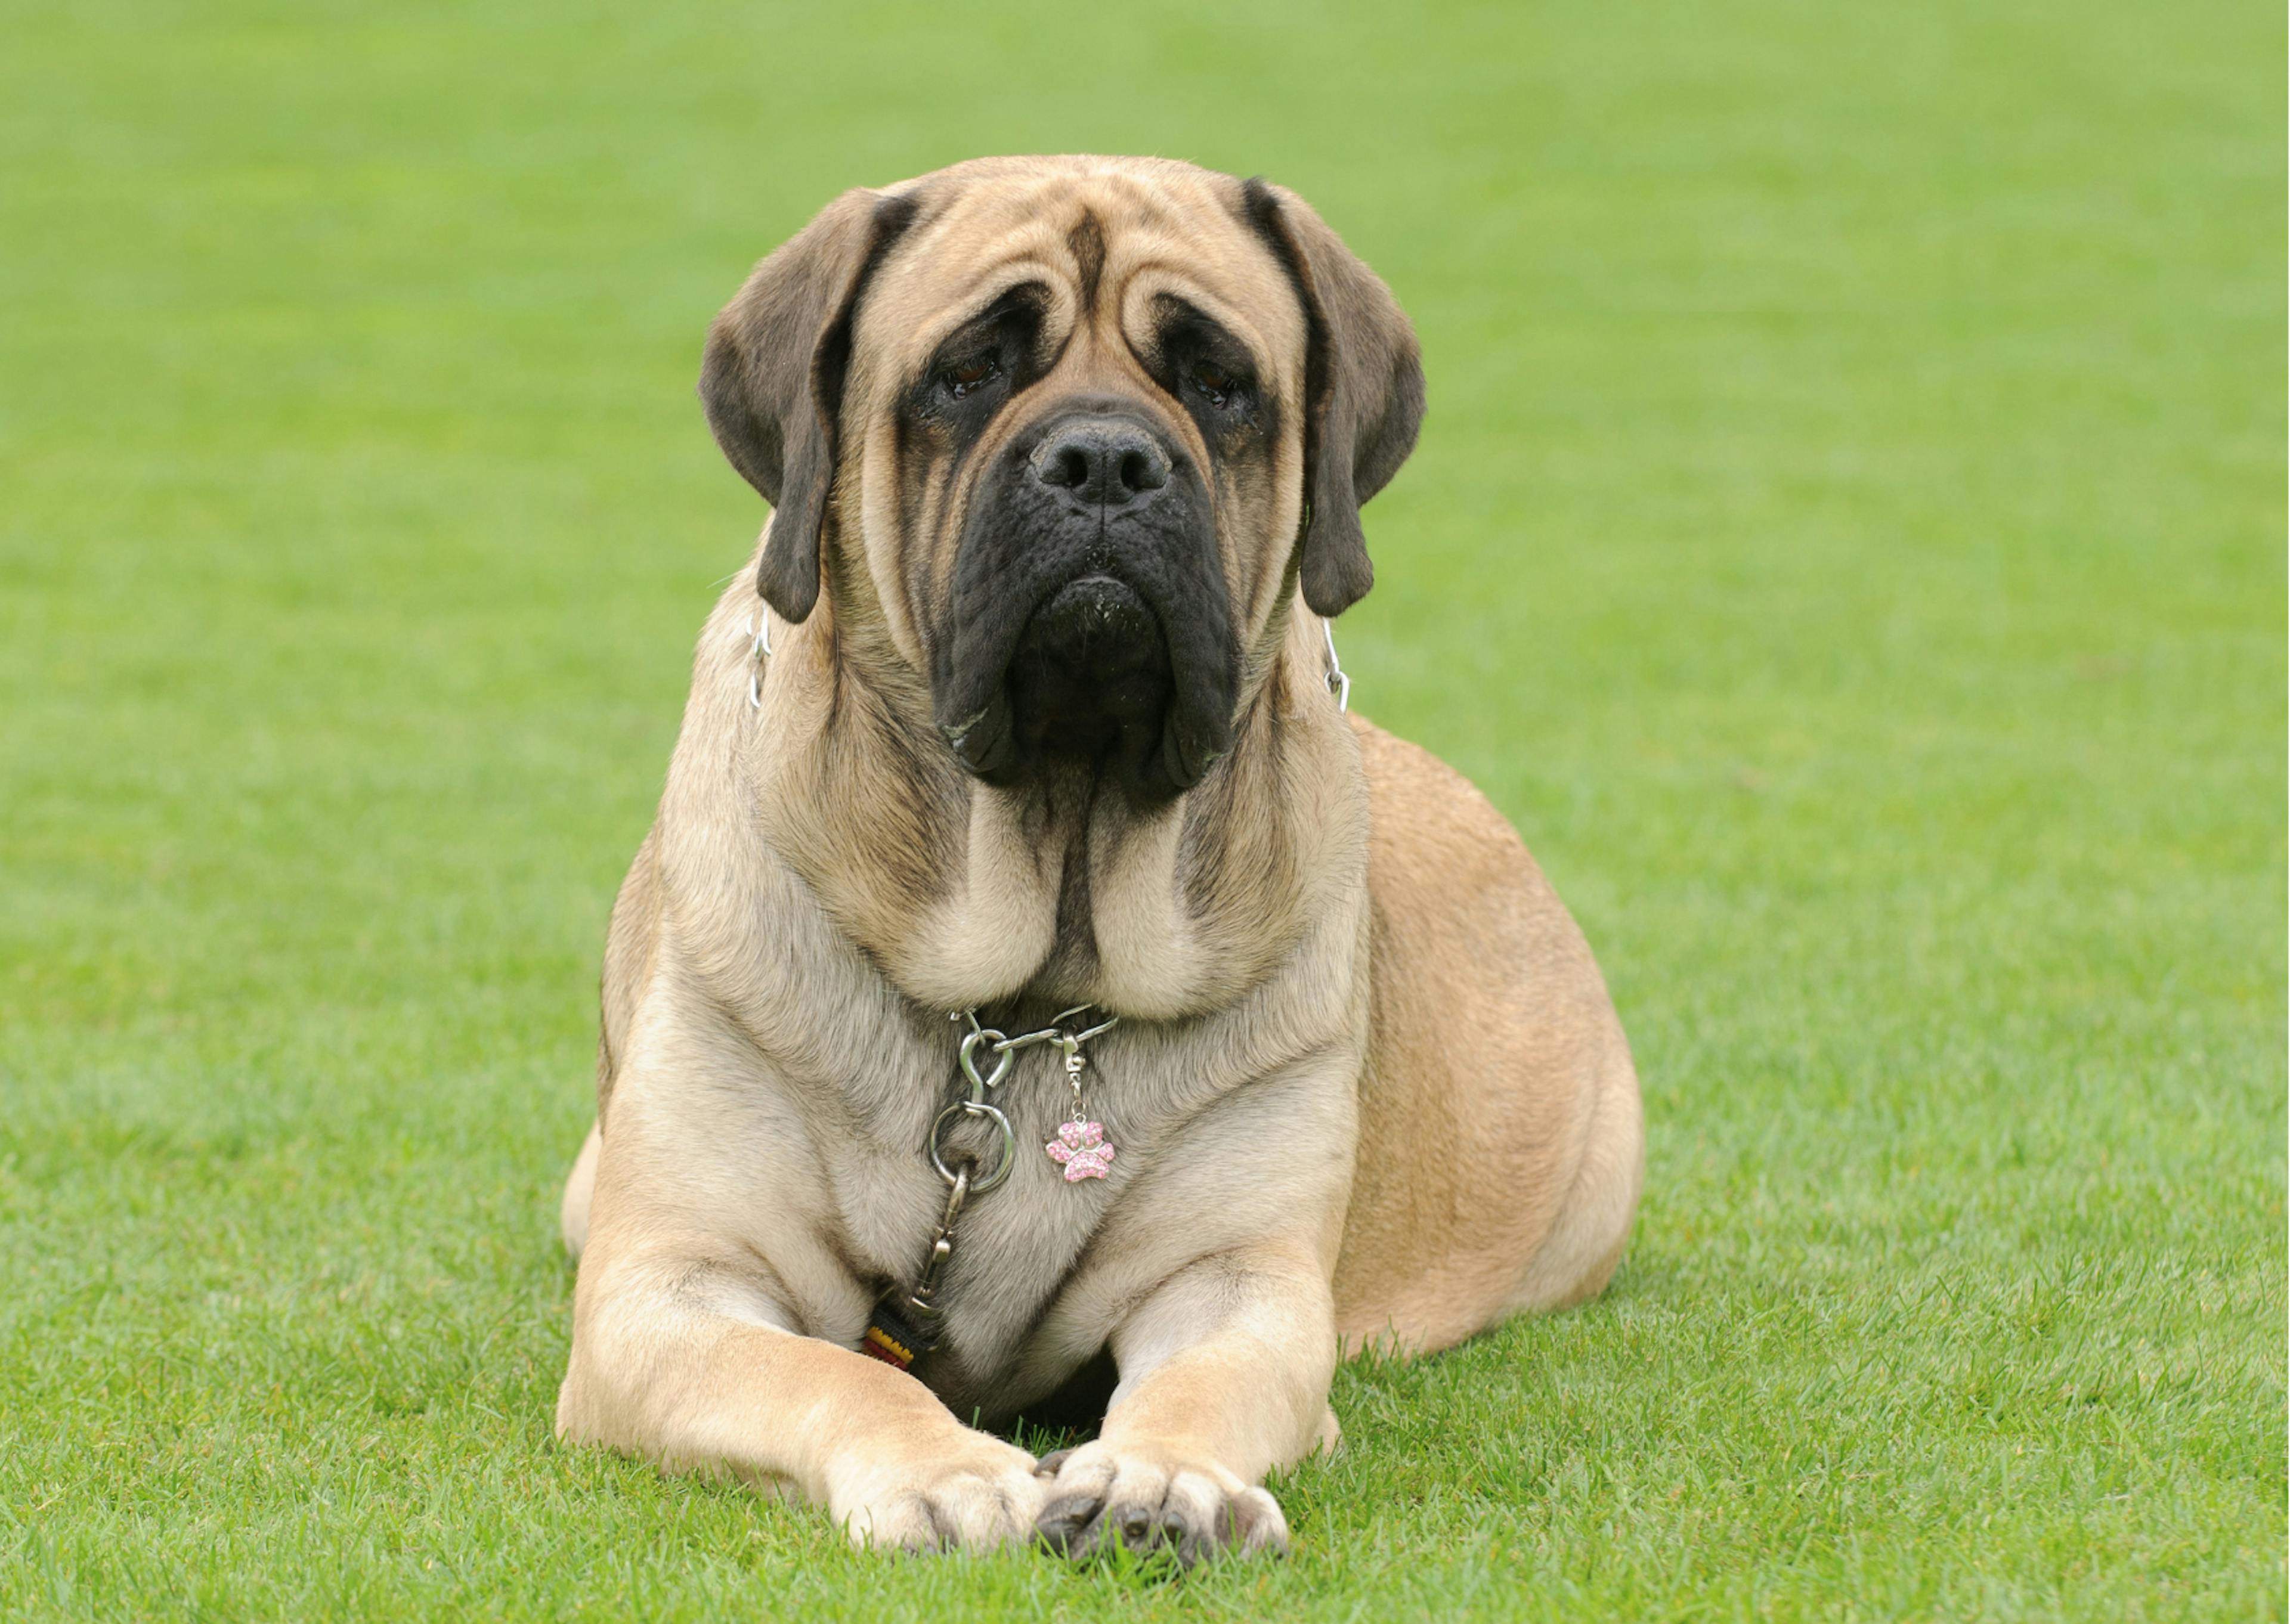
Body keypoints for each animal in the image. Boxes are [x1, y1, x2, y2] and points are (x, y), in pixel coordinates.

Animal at [549, 156, 1648, 1557]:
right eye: (968, 370)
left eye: (1219, 382)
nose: (1108, 459)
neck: (1029, 988)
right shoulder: (663, 1288)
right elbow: (831, 1370)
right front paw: (942, 1470)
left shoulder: (1239, 1281)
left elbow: (1205, 1379)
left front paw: (1162, 1478)